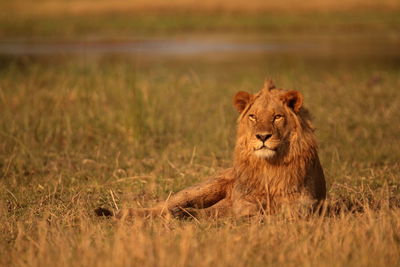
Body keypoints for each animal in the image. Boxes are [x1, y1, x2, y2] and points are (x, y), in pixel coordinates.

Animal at [96, 79, 324, 220]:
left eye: (277, 117)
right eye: (253, 117)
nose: (262, 137)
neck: (269, 165)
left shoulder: (301, 204)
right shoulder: (242, 202)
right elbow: (226, 212)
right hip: (199, 190)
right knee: (163, 206)